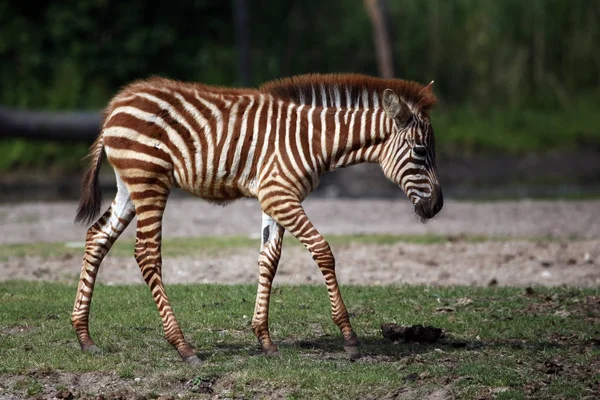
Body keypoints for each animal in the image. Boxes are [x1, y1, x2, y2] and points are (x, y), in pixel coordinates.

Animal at [72, 73, 442, 364]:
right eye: (421, 152)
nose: (437, 207)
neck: (314, 140)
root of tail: (117, 104)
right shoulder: (280, 195)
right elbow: (322, 250)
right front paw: (349, 337)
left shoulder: (274, 198)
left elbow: (269, 260)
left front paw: (264, 339)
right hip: (149, 182)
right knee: (146, 254)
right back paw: (182, 347)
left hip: (129, 185)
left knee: (97, 237)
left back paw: (84, 336)